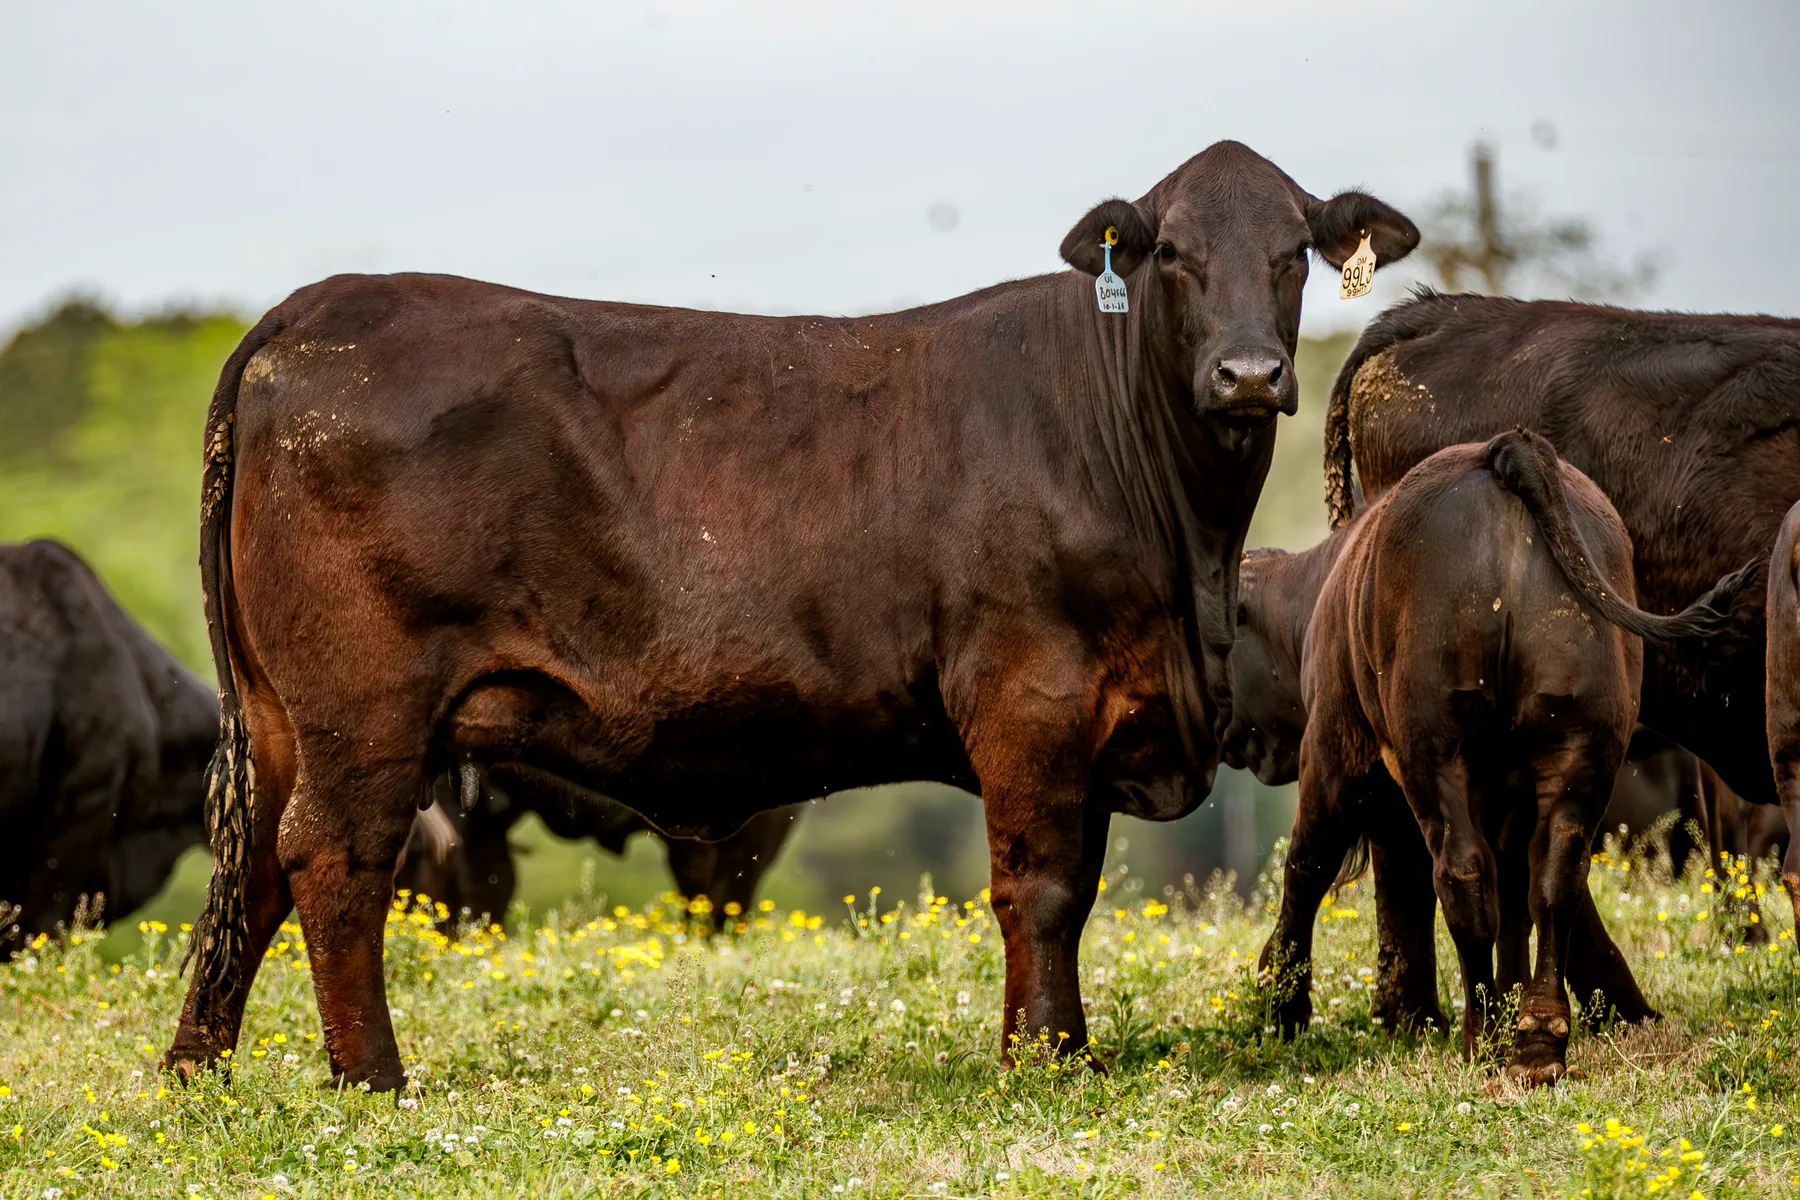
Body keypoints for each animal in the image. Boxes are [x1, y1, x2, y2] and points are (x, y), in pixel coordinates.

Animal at [161, 140, 1418, 1090]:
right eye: (1172, 255)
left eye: (1293, 253)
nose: (1249, 375)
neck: (1183, 551)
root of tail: (315, 307)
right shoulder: (1030, 692)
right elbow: (1044, 887)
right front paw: (1044, 1060)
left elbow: (1075, 889)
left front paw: (1061, 1047)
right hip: (364, 708)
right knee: (333, 862)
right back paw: (372, 1080)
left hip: (280, 714)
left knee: (251, 869)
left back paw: (199, 1077)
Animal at [1225, 431, 1747, 1083]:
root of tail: (1504, 451)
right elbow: (1510, 898)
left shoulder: (1332, 755)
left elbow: (1307, 864)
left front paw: (1283, 1003)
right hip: (1579, 747)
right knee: (1553, 878)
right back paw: (1536, 1037)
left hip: (1436, 754)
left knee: (1462, 873)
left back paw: (1484, 1035)